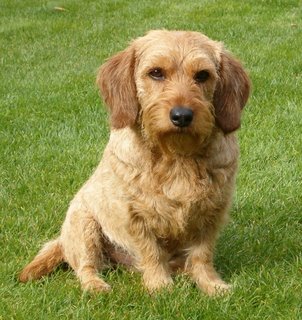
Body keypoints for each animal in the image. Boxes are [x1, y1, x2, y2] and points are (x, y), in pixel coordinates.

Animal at [19, 30, 250, 296]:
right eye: (156, 72)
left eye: (202, 75)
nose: (182, 116)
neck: (176, 157)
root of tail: (62, 240)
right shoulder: (135, 217)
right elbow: (152, 253)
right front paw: (160, 286)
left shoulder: (212, 216)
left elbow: (202, 255)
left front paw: (211, 285)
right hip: (84, 226)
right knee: (85, 267)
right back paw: (96, 285)